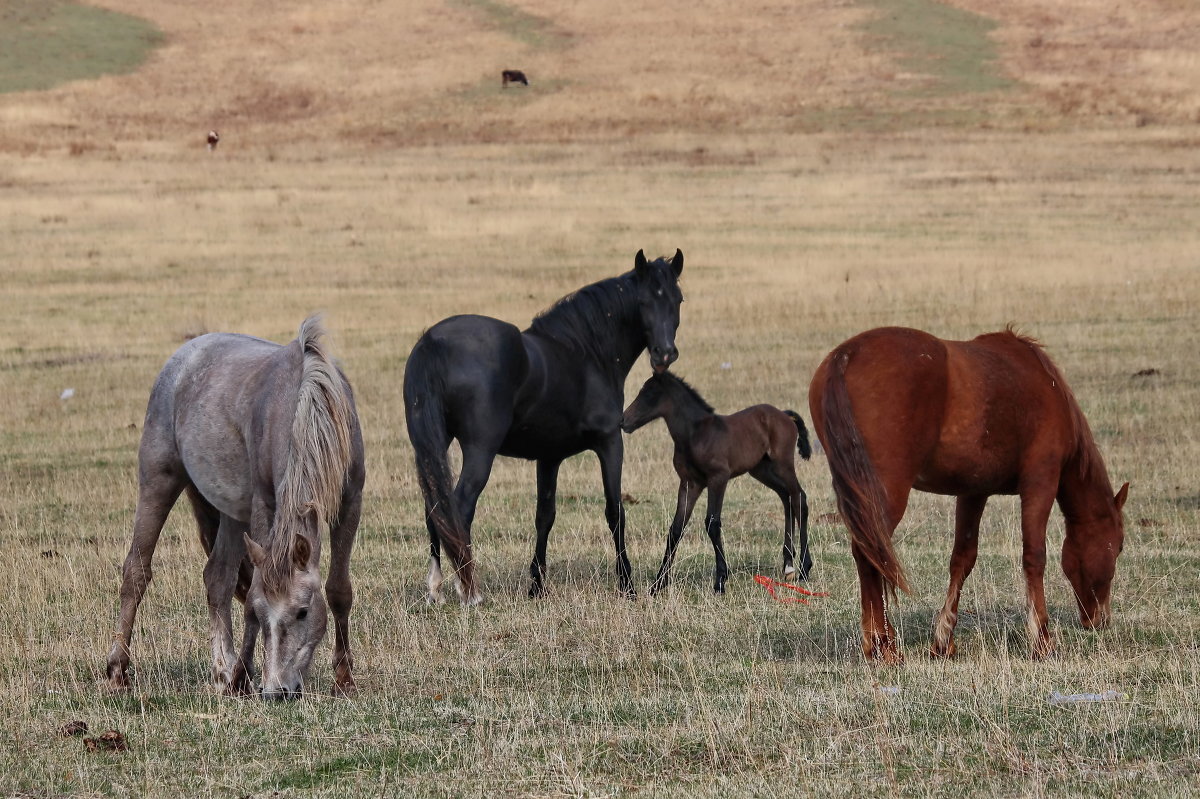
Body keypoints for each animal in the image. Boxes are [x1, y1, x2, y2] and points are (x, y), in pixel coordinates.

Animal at [105, 316, 362, 695]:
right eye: (261, 611)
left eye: (303, 611)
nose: (277, 692)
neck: (306, 406)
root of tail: (183, 357)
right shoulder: (264, 505)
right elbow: (254, 589)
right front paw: (243, 673)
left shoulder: (350, 501)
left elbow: (339, 590)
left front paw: (344, 679)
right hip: (158, 481)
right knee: (136, 571)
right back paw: (119, 669)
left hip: (230, 514)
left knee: (217, 577)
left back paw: (223, 670)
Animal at [405, 247, 681, 597]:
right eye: (643, 301)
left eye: (677, 300)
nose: (664, 354)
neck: (586, 354)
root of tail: (433, 342)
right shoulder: (610, 442)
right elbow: (615, 511)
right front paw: (627, 584)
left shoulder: (549, 458)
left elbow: (544, 515)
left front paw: (537, 586)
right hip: (480, 451)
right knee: (459, 509)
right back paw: (468, 590)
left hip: (434, 447)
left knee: (435, 510)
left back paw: (435, 588)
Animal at [619, 371, 816, 590]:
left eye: (650, 393)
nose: (623, 421)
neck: (695, 435)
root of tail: (784, 414)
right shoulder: (690, 483)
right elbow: (676, 528)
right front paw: (658, 583)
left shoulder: (718, 478)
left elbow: (712, 523)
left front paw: (720, 580)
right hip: (761, 470)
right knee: (786, 497)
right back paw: (788, 565)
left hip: (783, 465)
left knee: (799, 498)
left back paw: (804, 568)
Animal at [811, 326, 1128, 662]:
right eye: (1119, 547)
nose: (1100, 620)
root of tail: (847, 355)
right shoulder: (1040, 481)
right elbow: (1034, 557)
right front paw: (1042, 640)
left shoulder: (974, 492)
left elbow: (962, 560)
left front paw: (943, 640)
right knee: (870, 556)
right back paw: (884, 646)